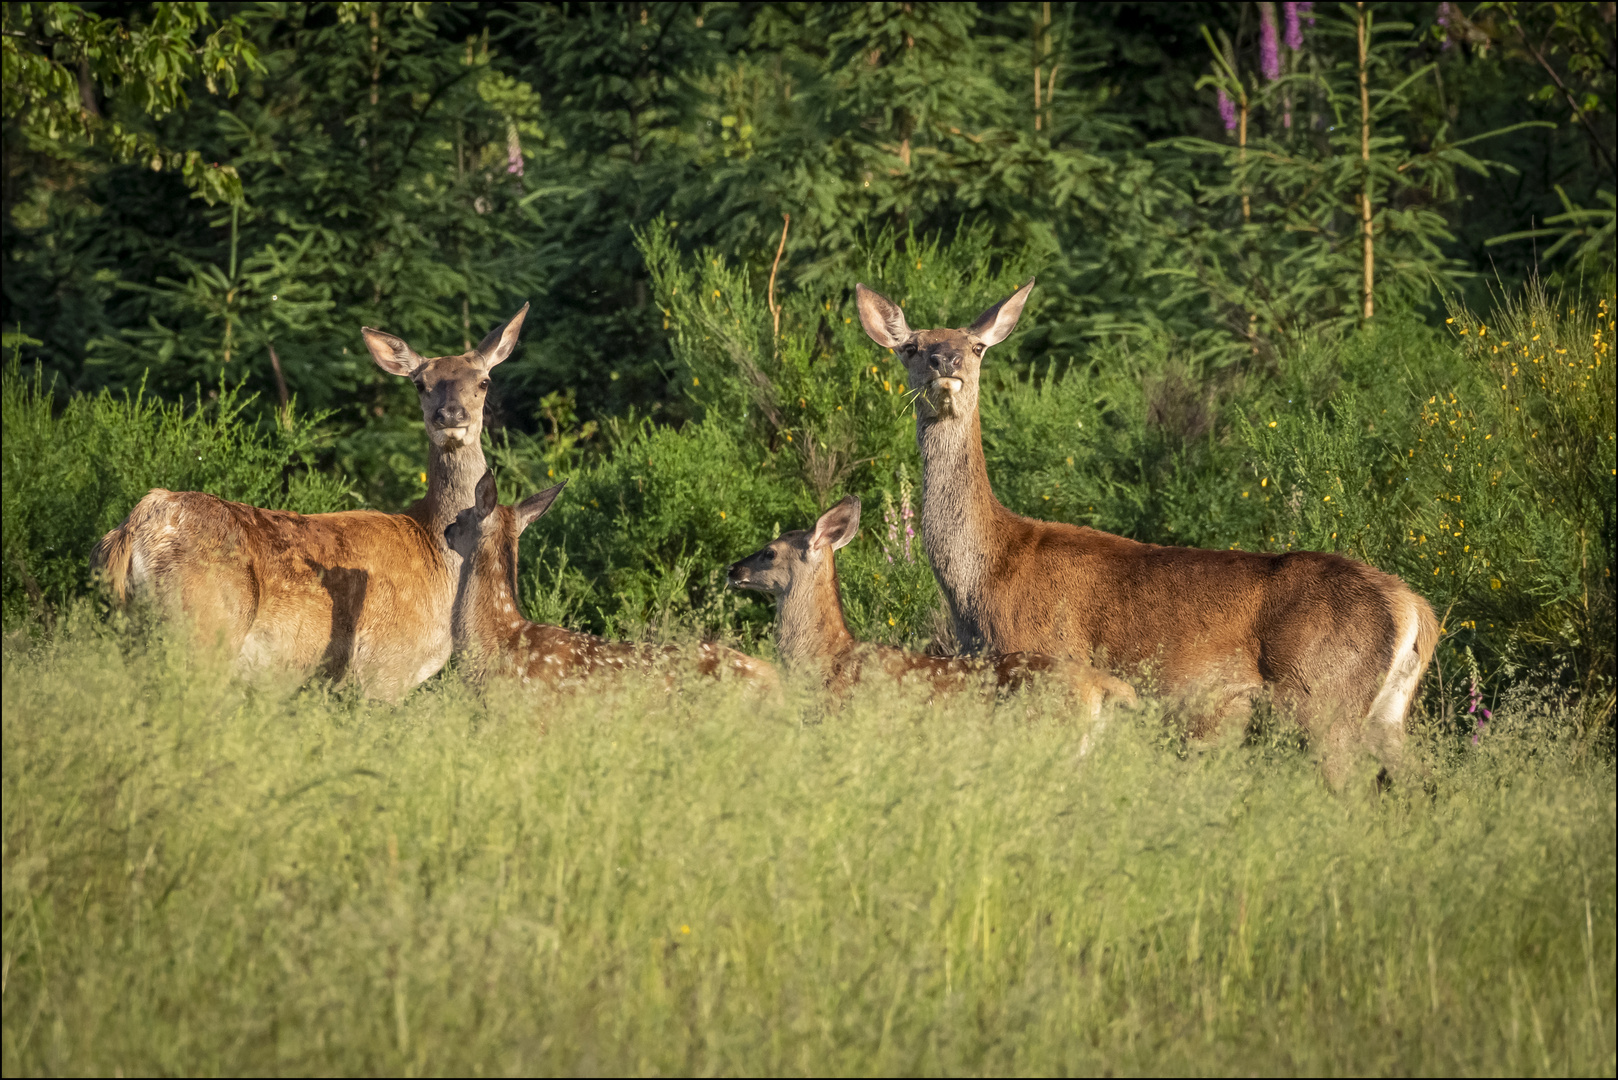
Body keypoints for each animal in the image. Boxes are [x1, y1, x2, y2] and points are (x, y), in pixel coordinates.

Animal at [93, 302, 530, 702]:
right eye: (420, 384)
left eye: (484, 381)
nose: (450, 414)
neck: (436, 553)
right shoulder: (385, 667)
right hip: (204, 622)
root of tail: (138, 523)